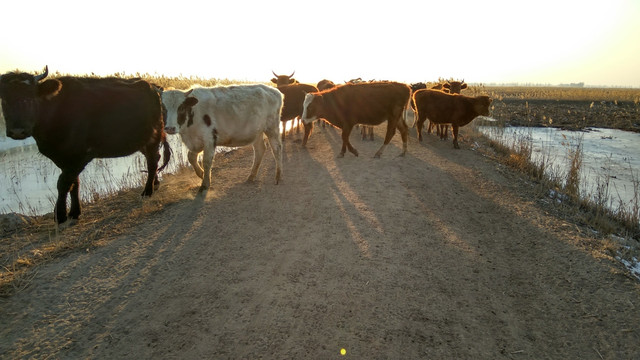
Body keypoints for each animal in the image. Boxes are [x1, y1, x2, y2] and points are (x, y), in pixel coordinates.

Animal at [0, 64, 170, 222]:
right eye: (4, 100)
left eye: (30, 97)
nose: (17, 131)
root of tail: (153, 86)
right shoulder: (64, 159)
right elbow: (74, 183)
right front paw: (74, 212)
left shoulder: (81, 155)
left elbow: (63, 183)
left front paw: (60, 215)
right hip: (142, 140)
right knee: (153, 159)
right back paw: (155, 184)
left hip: (153, 136)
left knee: (152, 161)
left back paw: (147, 191)